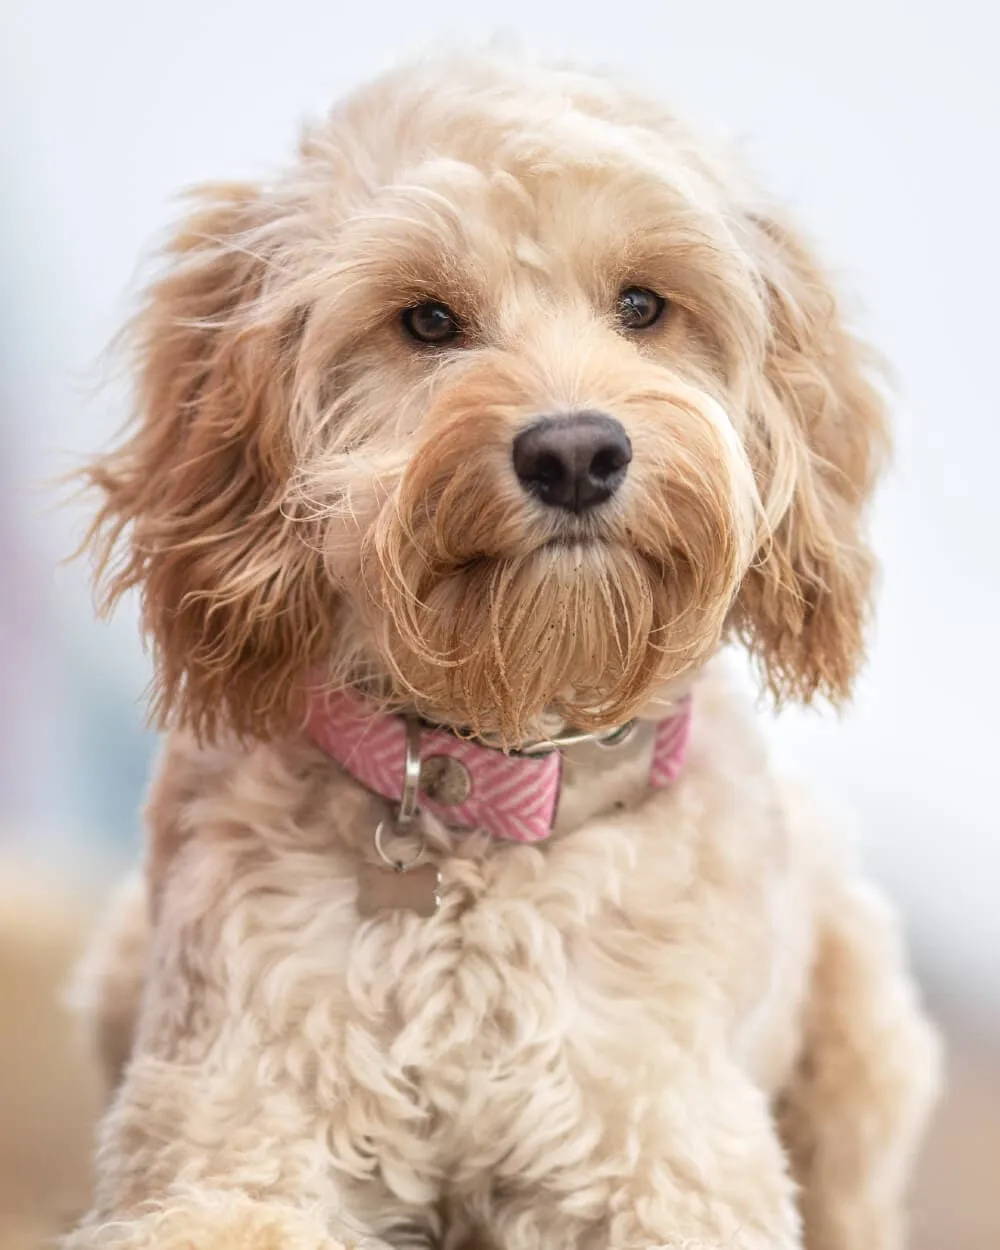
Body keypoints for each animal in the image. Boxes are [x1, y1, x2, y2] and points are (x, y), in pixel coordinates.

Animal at [66, 46, 940, 1250]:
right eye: (427, 319)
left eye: (642, 304)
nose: (574, 453)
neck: (488, 793)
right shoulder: (226, 1132)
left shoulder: (664, 1158)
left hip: (866, 1051)